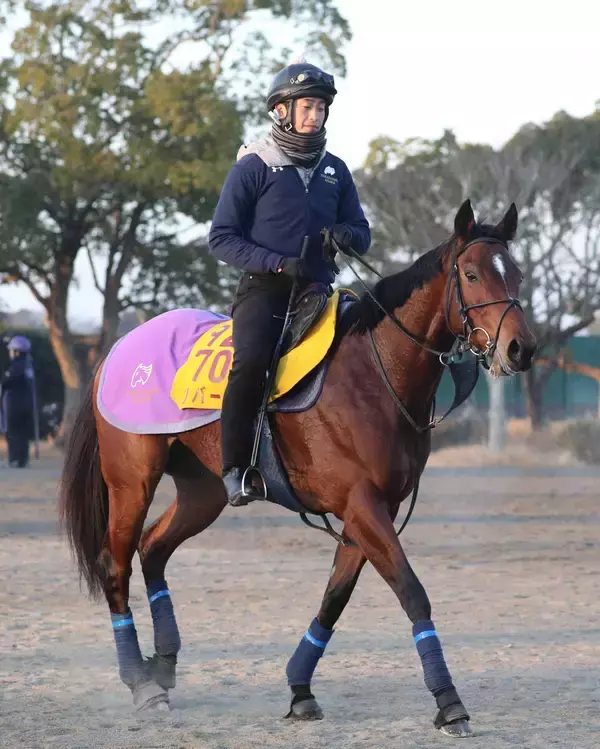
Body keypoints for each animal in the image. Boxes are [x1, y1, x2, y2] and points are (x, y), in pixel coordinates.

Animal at [60, 199, 536, 737]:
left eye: (516, 273)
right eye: (472, 274)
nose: (521, 348)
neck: (373, 372)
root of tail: (117, 350)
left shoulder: (372, 512)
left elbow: (335, 598)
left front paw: (299, 689)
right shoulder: (363, 506)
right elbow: (412, 593)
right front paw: (449, 701)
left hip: (203, 493)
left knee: (153, 548)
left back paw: (162, 665)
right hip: (132, 484)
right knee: (115, 565)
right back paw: (141, 684)